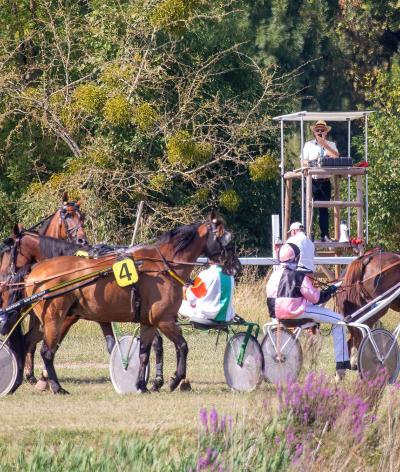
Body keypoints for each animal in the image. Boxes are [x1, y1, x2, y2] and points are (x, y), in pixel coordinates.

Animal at [9, 212, 233, 392]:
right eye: (227, 239)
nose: (235, 267)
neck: (162, 266)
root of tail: (35, 272)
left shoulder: (147, 321)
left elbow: (143, 351)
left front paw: (144, 383)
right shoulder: (164, 320)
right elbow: (182, 346)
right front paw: (172, 380)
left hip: (49, 320)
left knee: (28, 343)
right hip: (54, 318)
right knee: (45, 351)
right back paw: (54, 386)